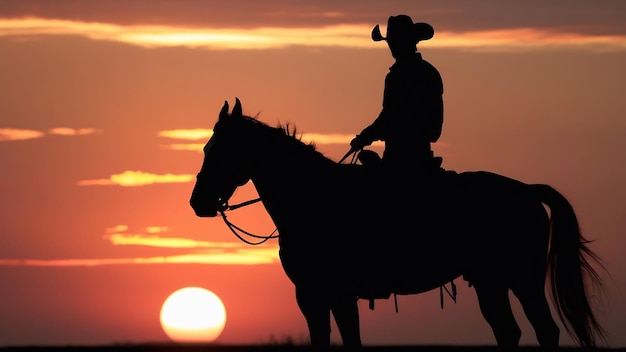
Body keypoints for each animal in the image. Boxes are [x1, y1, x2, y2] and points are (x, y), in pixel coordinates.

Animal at [190, 97, 604, 350]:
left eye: (217, 149)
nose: (197, 203)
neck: (313, 198)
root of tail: (528, 191)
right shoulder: (313, 295)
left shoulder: (334, 293)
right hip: (492, 282)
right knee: (509, 331)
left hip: (523, 279)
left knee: (544, 330)